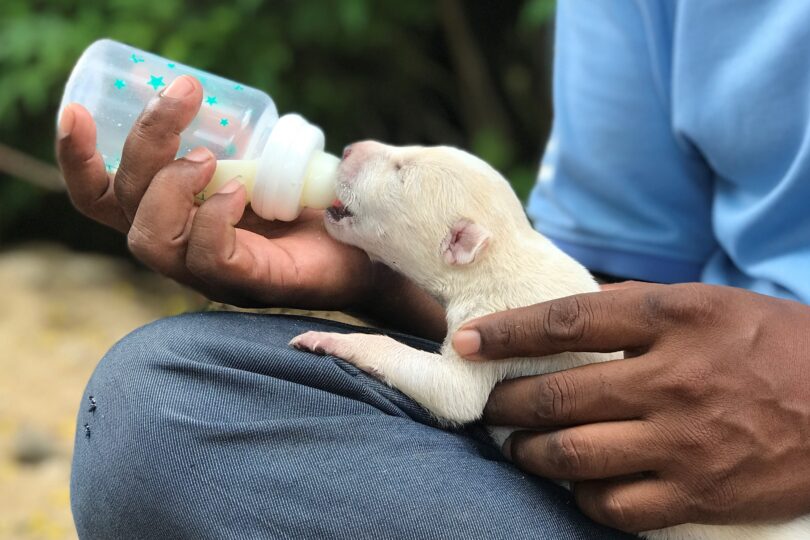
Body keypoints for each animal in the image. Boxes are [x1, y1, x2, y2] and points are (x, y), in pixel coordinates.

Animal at [290, 141, 808, 536]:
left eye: (401, 172)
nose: (350, 148)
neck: (500, 252)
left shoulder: (490, 321)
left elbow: (454, 393)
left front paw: (328, 339)